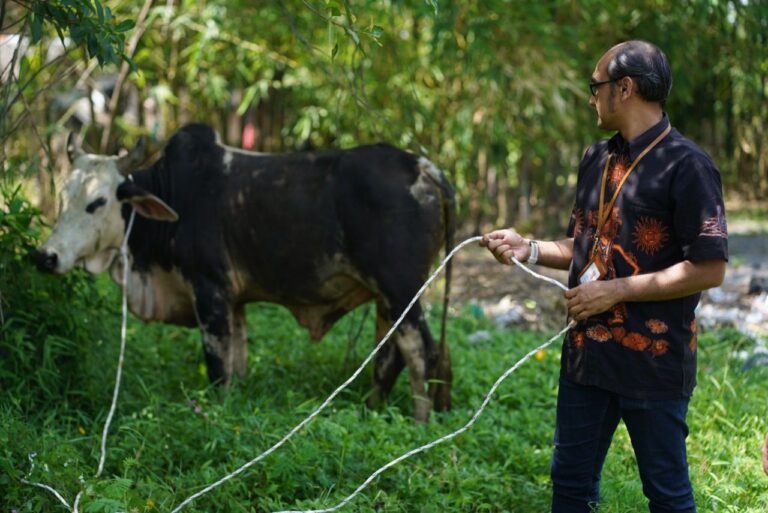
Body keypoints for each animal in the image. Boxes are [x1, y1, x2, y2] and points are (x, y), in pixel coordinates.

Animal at [36, 124, 456, 420]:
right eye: (63, 196)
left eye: (97, 202)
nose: (47, 257)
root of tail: (421, 165)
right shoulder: (234, 303)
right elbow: (237, 364)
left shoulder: (209, 292)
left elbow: (218, 368)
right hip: (389, 299)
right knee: (390, 354)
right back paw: (372, 411)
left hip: (401, 289)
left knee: (422, 352)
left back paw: (420, 424)